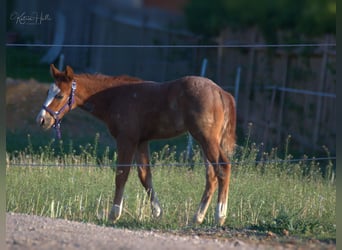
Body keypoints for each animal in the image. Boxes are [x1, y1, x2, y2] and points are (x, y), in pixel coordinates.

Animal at [36, 64, 236, 227]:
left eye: (60, 95)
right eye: (47, 92)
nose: (41, 120)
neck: (115, 97)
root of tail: (221, 92)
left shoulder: (127, 139)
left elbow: (121, 174)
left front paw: (114, 214)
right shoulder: (141, 141)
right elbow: (145, 176)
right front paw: (157, 213)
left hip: (206, 139)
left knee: (223, 167)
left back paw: (220, 215)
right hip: (204, 141)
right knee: (211, 175)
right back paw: (198, 217)